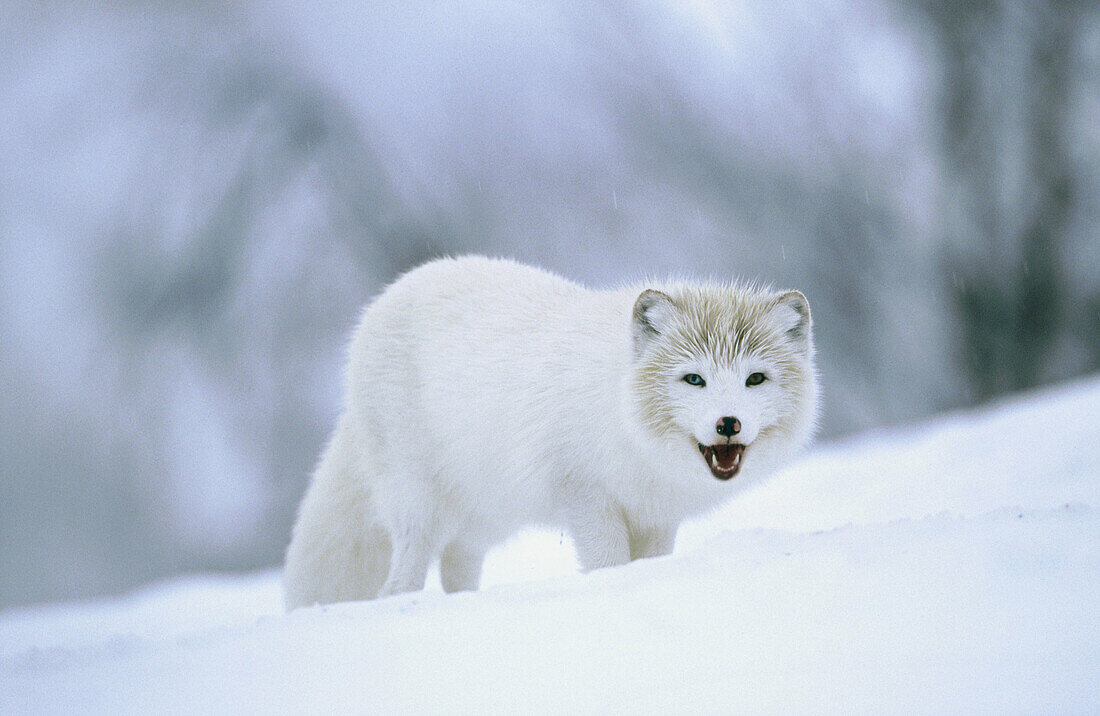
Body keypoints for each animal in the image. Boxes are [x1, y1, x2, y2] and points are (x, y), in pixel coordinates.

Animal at [283, 255, 818, 607]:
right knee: (399, 582)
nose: (728, 423)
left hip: (487, 512)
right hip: (419, 506)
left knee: (458, 565)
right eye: (694, 380)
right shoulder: (584, 495)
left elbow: (647, 562)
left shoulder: (657, 516)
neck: (624, 421)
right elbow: (607, 564)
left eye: (754, 379)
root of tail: (381, 301)